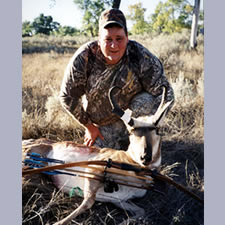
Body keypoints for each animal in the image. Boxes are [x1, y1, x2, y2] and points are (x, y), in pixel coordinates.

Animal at [22, 86, 172, 225]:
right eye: (130, 132)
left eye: (158, 131)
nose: (145, 157)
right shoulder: (93, 169)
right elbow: (88, 202)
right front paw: (58, 222)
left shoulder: (119, 200)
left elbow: (141, 211)